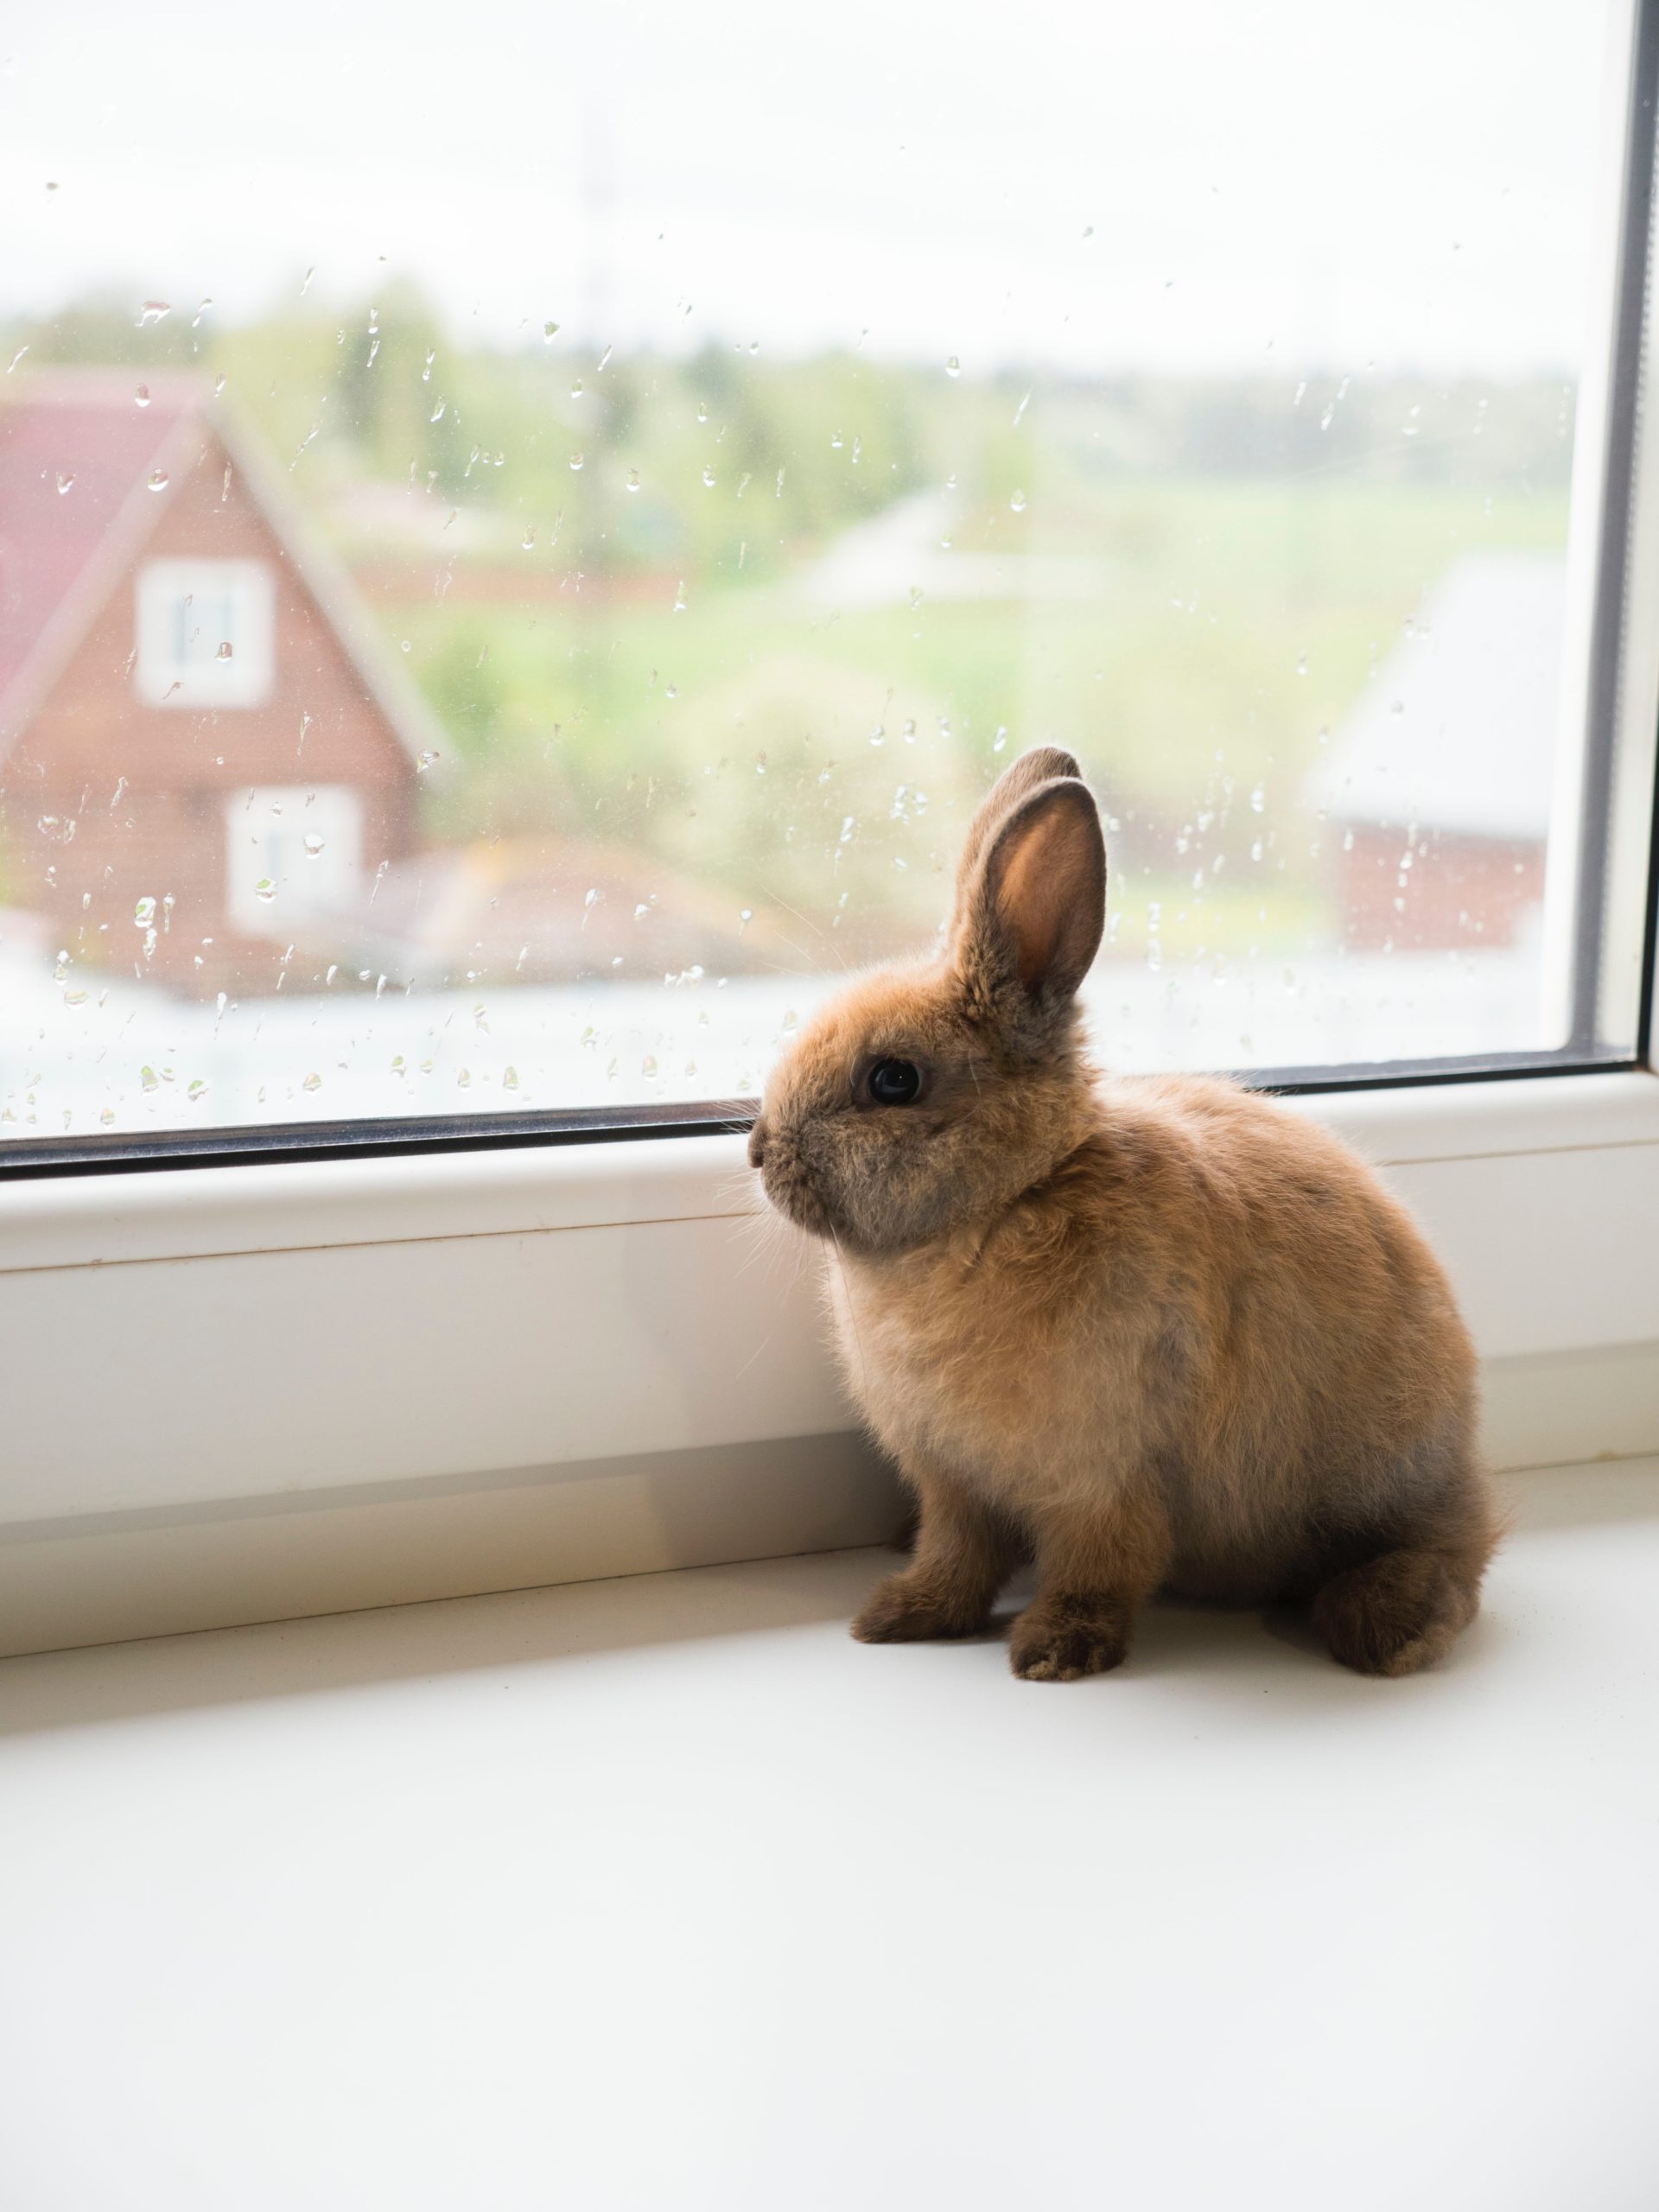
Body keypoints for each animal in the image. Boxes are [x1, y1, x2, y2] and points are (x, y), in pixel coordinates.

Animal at [747, 743, 1503, 1672]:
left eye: (894, 1080)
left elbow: (1100, 1565)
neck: (1007, 1201)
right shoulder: (953, 1482)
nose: (759, 1151)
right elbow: (956, 1555)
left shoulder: (1103, 1480)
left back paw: (1384, 1629)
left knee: (1456, 1558)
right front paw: (899, 1617)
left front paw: (1054, 1653)